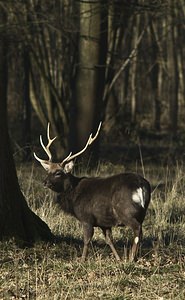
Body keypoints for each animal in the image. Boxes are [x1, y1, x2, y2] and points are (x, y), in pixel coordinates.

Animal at [34, 123, 150, 262]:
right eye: (48, 171)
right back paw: (134, 257)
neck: (73, 196)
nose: (44, 182)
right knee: (140, 230)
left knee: (137, 230)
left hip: (126, 211)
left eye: (58, 173)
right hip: (142, 212)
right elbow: (109, 240)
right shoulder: (104, 222)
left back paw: (132, 258)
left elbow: (87, 240)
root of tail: (141, 185)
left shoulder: (86, 217)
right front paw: (118, 259)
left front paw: (82, 260)